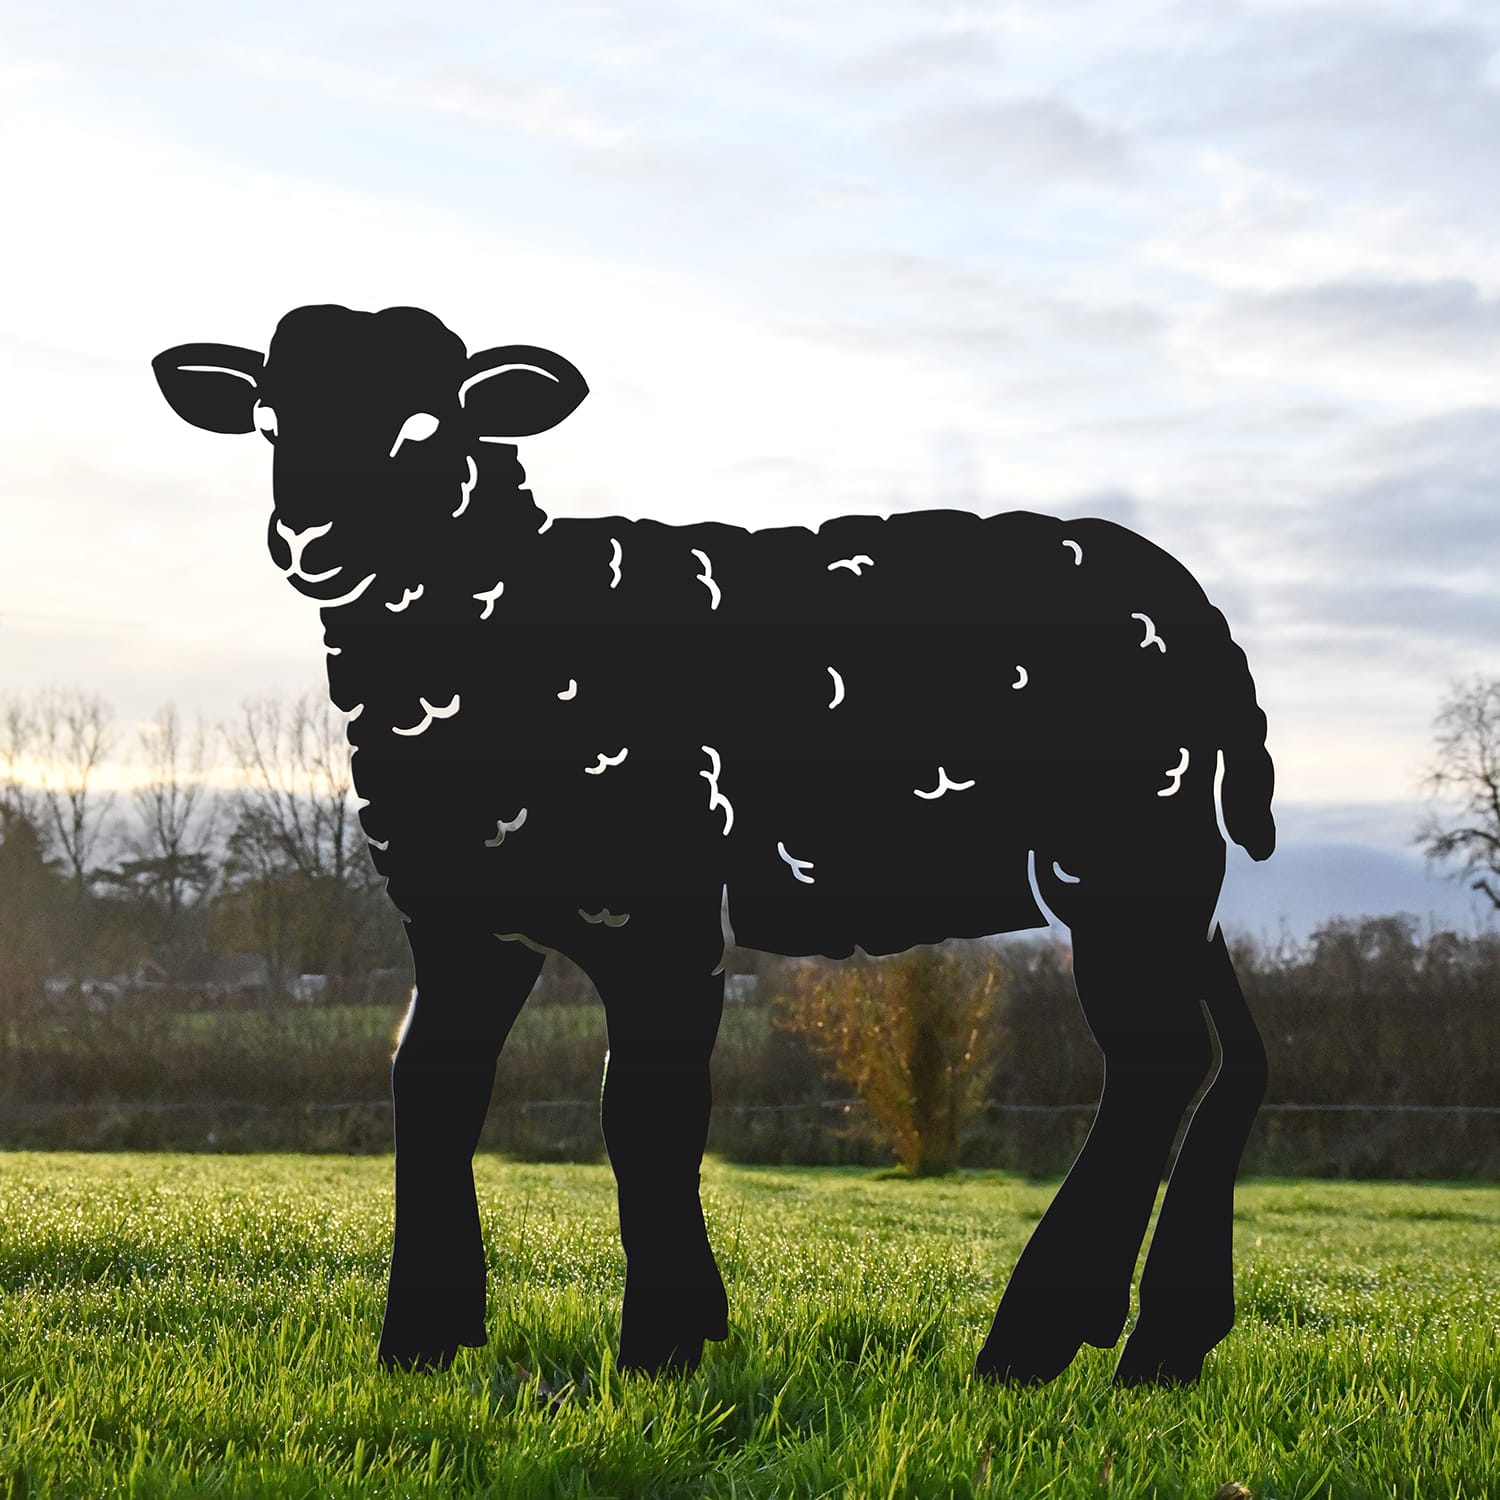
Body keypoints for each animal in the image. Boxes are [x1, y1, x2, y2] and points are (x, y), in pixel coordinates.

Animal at [153, 302, 1275, 1388]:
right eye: (268, 423)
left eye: (428, 425)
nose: (309, 539)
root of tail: (1201, 615)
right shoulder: (463, 917)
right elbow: (428, 1084)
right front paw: (419, 1342)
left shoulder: (661, 906)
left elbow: (642, 1108)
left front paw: (662, 1343)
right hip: (1177, 874)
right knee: (1227, 1054)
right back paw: (1159, 1343)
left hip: (1130, 854)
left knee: (1157, 1060)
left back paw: (1034, 1342)